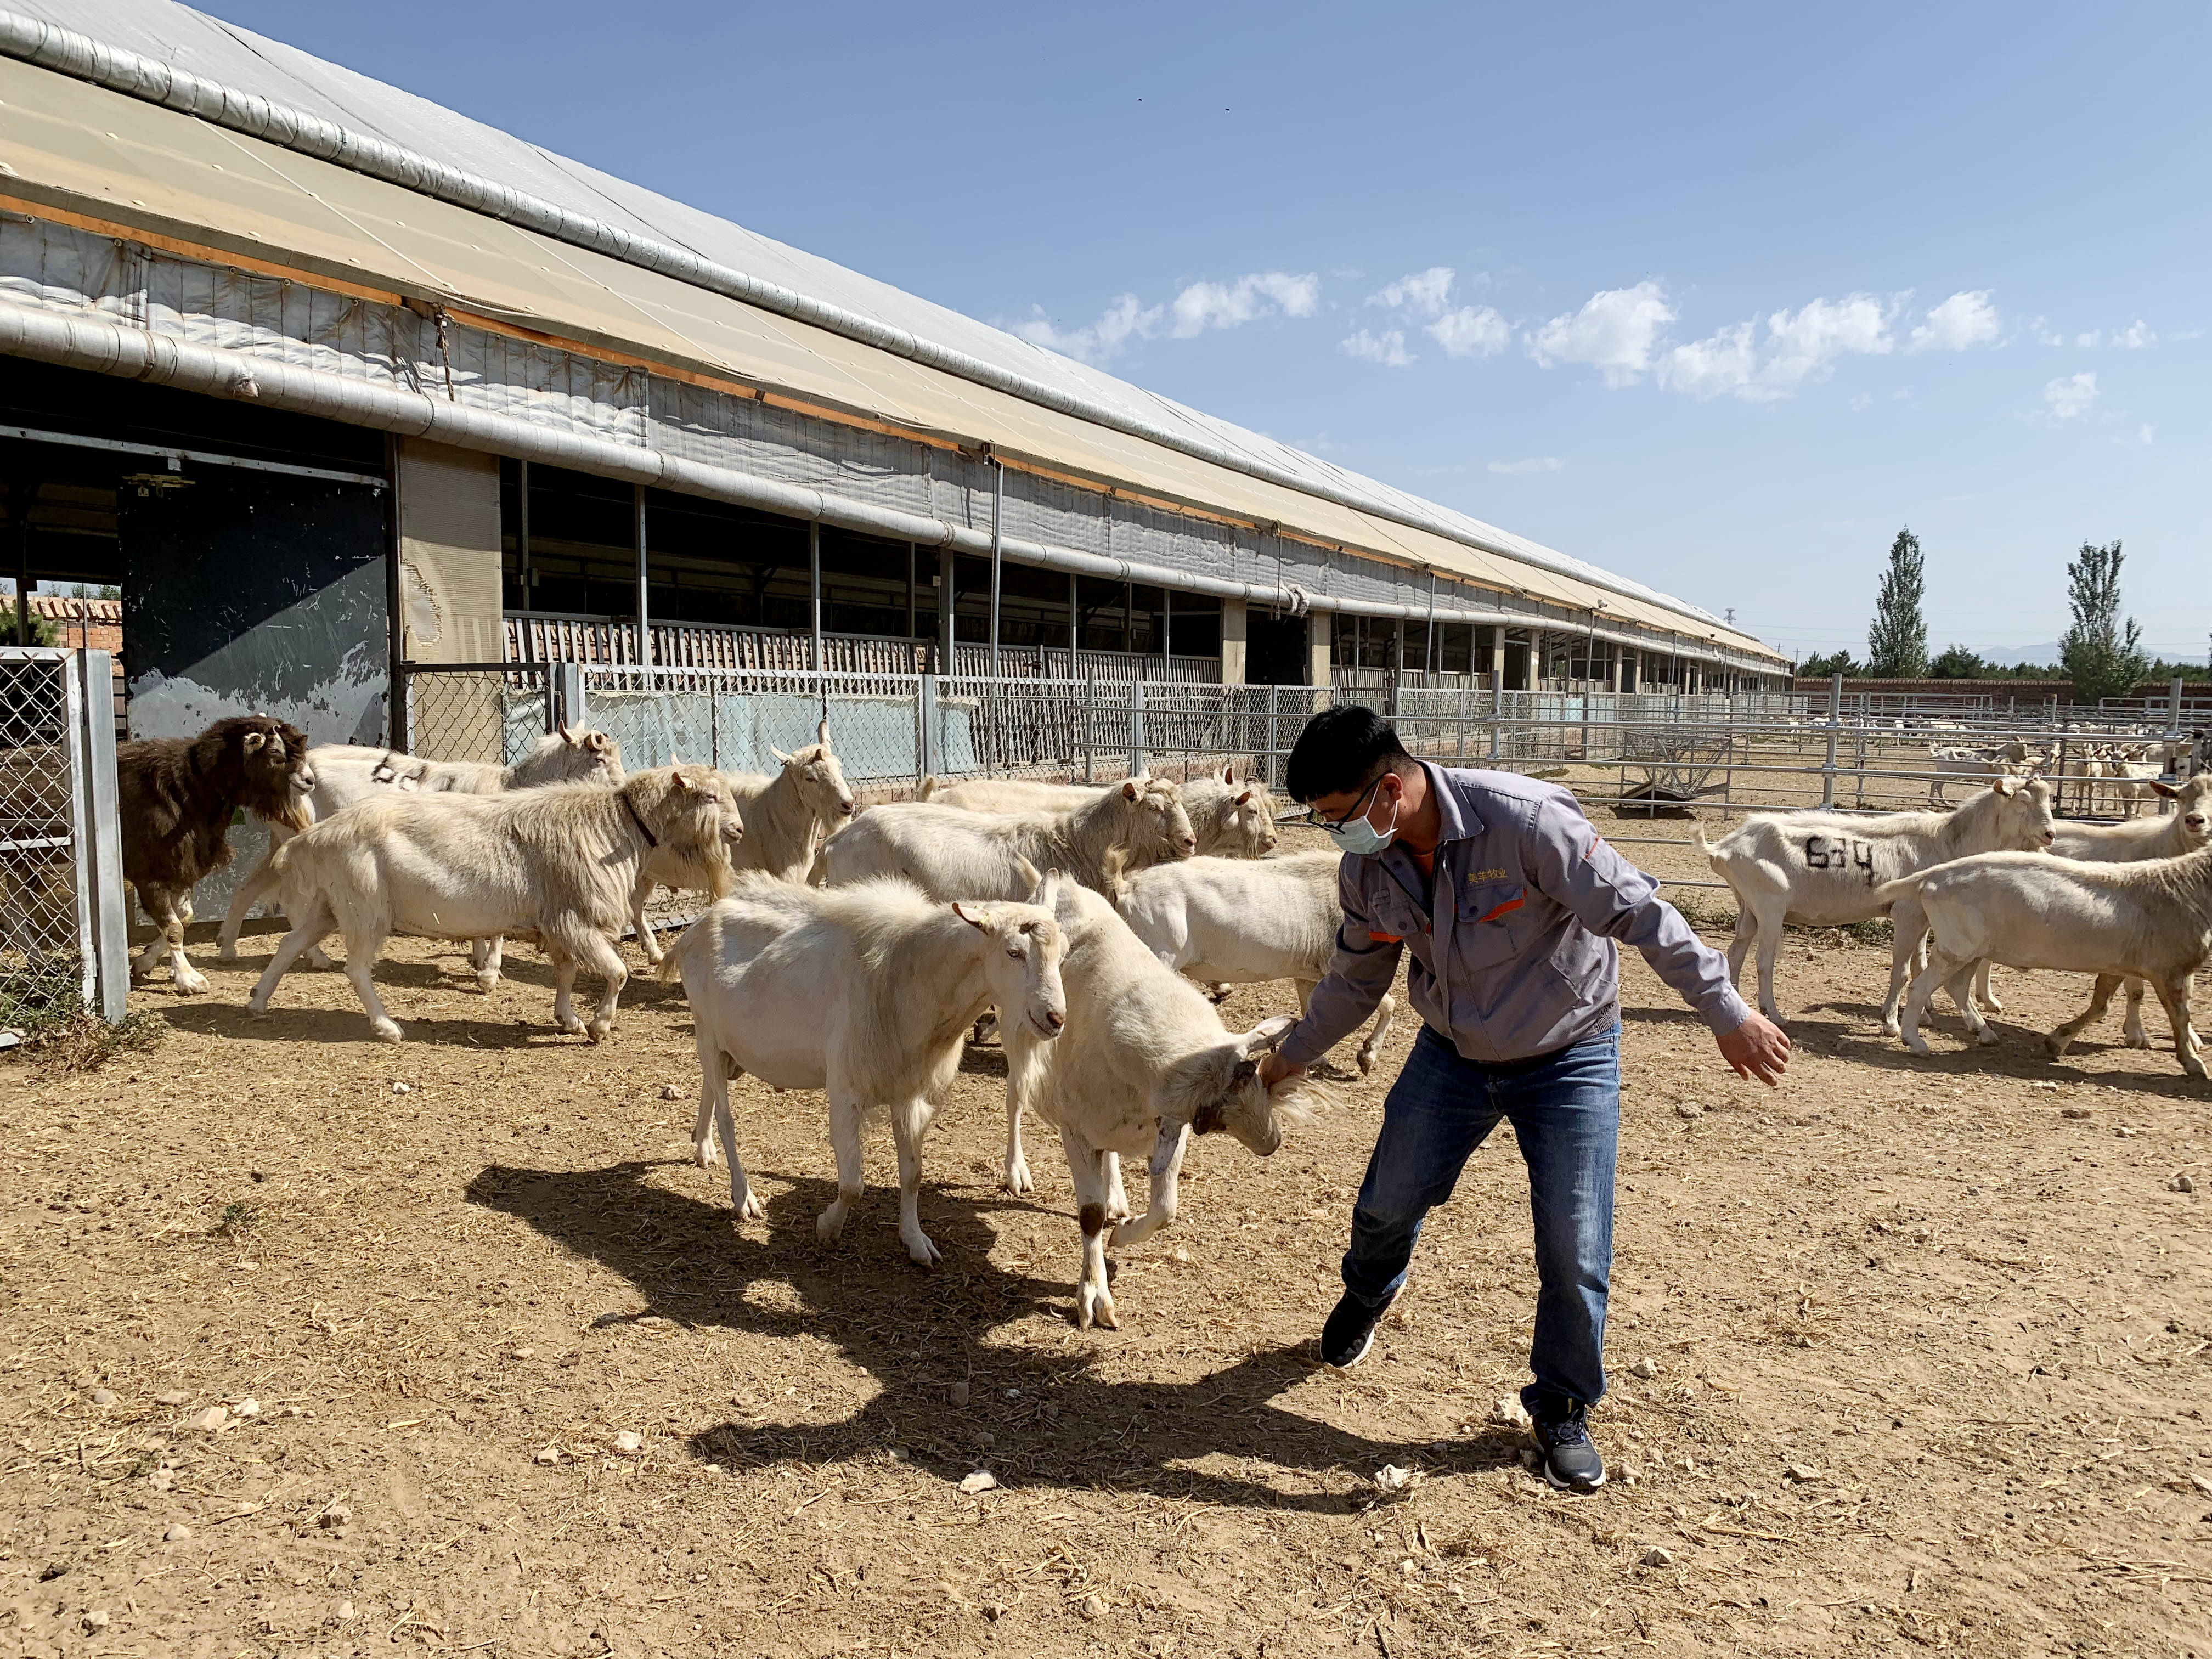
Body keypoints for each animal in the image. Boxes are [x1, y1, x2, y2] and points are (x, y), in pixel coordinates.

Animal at [120, 716, 314, 1000]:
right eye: (274, 751)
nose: (310, 781)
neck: (192, 785)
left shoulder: (182, 869)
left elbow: (185, 916)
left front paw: (144, 962)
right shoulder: (150, 873)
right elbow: (174, 926)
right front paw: (189, 979)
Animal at [659, 876, 1066, 1265]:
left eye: (1062, 955)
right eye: (1013, 953)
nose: (1056, 1019)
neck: (906, 977)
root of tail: (692, 930)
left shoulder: (909, 1093)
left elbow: (913, 1175)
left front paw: (916, 1241)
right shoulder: (845, 1091)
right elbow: (853, 1185)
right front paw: (827, 1227)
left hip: (727, 1048)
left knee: (709, 1088)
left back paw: (703, 1146)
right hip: (707, 1031)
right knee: (727, 1116)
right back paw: (743, 1196)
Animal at [1004, 889, 1309, 1336]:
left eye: (1252, 1074)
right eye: (1212, 1121)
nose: (1272, 1143)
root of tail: (1063, 884)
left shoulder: (1165, 1133)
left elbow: (1165, 1211)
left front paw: (1122, 1234)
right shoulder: (1076, 1132)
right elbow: (1090, 1216)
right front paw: (1094, 1296)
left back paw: (1116, 1196)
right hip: (1020, 1037)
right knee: (1015, 1098)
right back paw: (1016, 1171)